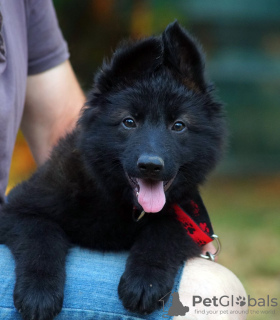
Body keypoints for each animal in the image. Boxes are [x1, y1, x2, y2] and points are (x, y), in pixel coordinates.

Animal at [0, 22, 225, 320]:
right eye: (129, 122)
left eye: (178, 126)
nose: (150, 165)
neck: (123, 204)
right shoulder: (17, 209)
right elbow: (40, 236)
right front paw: (39, 293)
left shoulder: (190, 221)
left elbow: (164, 232)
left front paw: (144, 282)